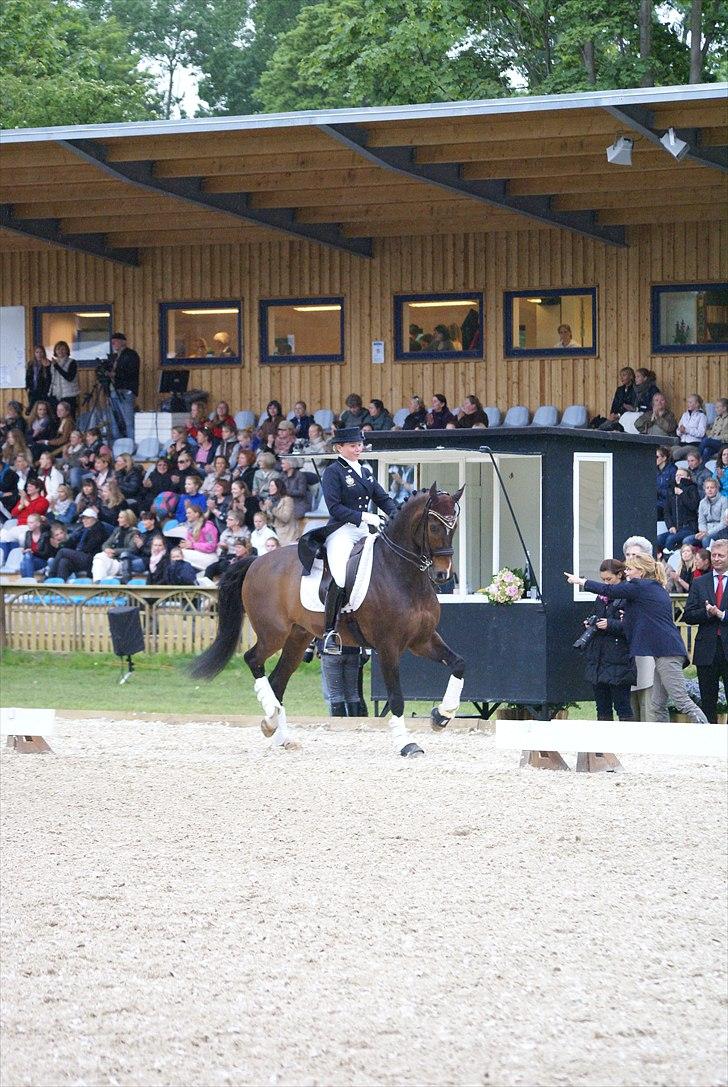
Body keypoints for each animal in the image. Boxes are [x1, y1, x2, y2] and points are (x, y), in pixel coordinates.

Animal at [191, 484, 467, 756]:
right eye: (434, 527)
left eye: (454, 527)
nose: (442, 574)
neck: (400, 571)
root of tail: (257, 560)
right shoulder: (388, 646)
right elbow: (396, 697)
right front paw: (407, 744)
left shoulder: (422, 640)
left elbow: (459, 664)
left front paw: (441, 716)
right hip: (273, 633)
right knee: (253, 659)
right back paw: (270, 719)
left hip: (297, 637)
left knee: (278, 680)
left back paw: (280, 735)